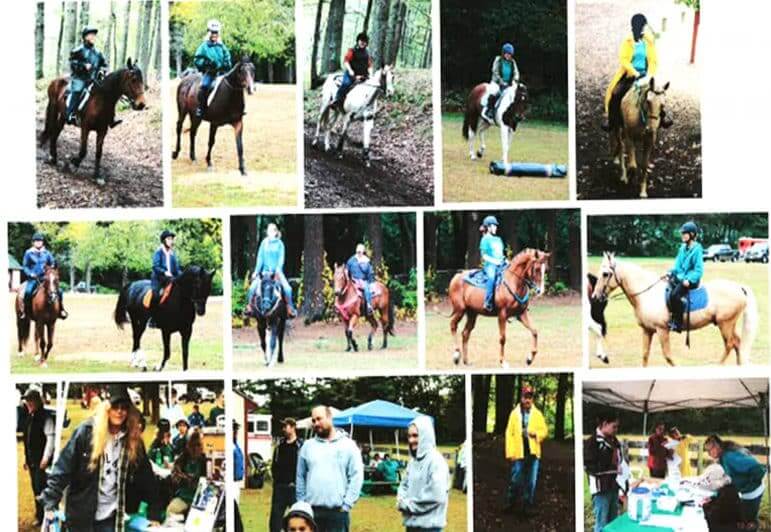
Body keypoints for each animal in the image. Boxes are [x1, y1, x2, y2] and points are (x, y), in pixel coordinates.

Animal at [38, 58, 148, 186]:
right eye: (133, 79)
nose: (141, 104)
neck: (101, 100)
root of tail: (56, 80)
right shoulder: (85, 128)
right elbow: (83, 151)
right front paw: (72, 163)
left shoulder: (102, 131)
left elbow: (98, 153)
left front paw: (97, 176)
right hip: (54, 109)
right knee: (52, 131)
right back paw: (52, 157)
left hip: (63, 117)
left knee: (55, 133)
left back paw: (54, 157)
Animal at [596, 250, 756, 366]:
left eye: (605, 274)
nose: (596, 296)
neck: (648, 294)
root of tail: (739, 288)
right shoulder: (647, 331)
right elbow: (645, 355)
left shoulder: (662, 330)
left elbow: (668, 357)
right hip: (728, 325)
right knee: (737, 343)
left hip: (725, 324)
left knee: (730, 344)